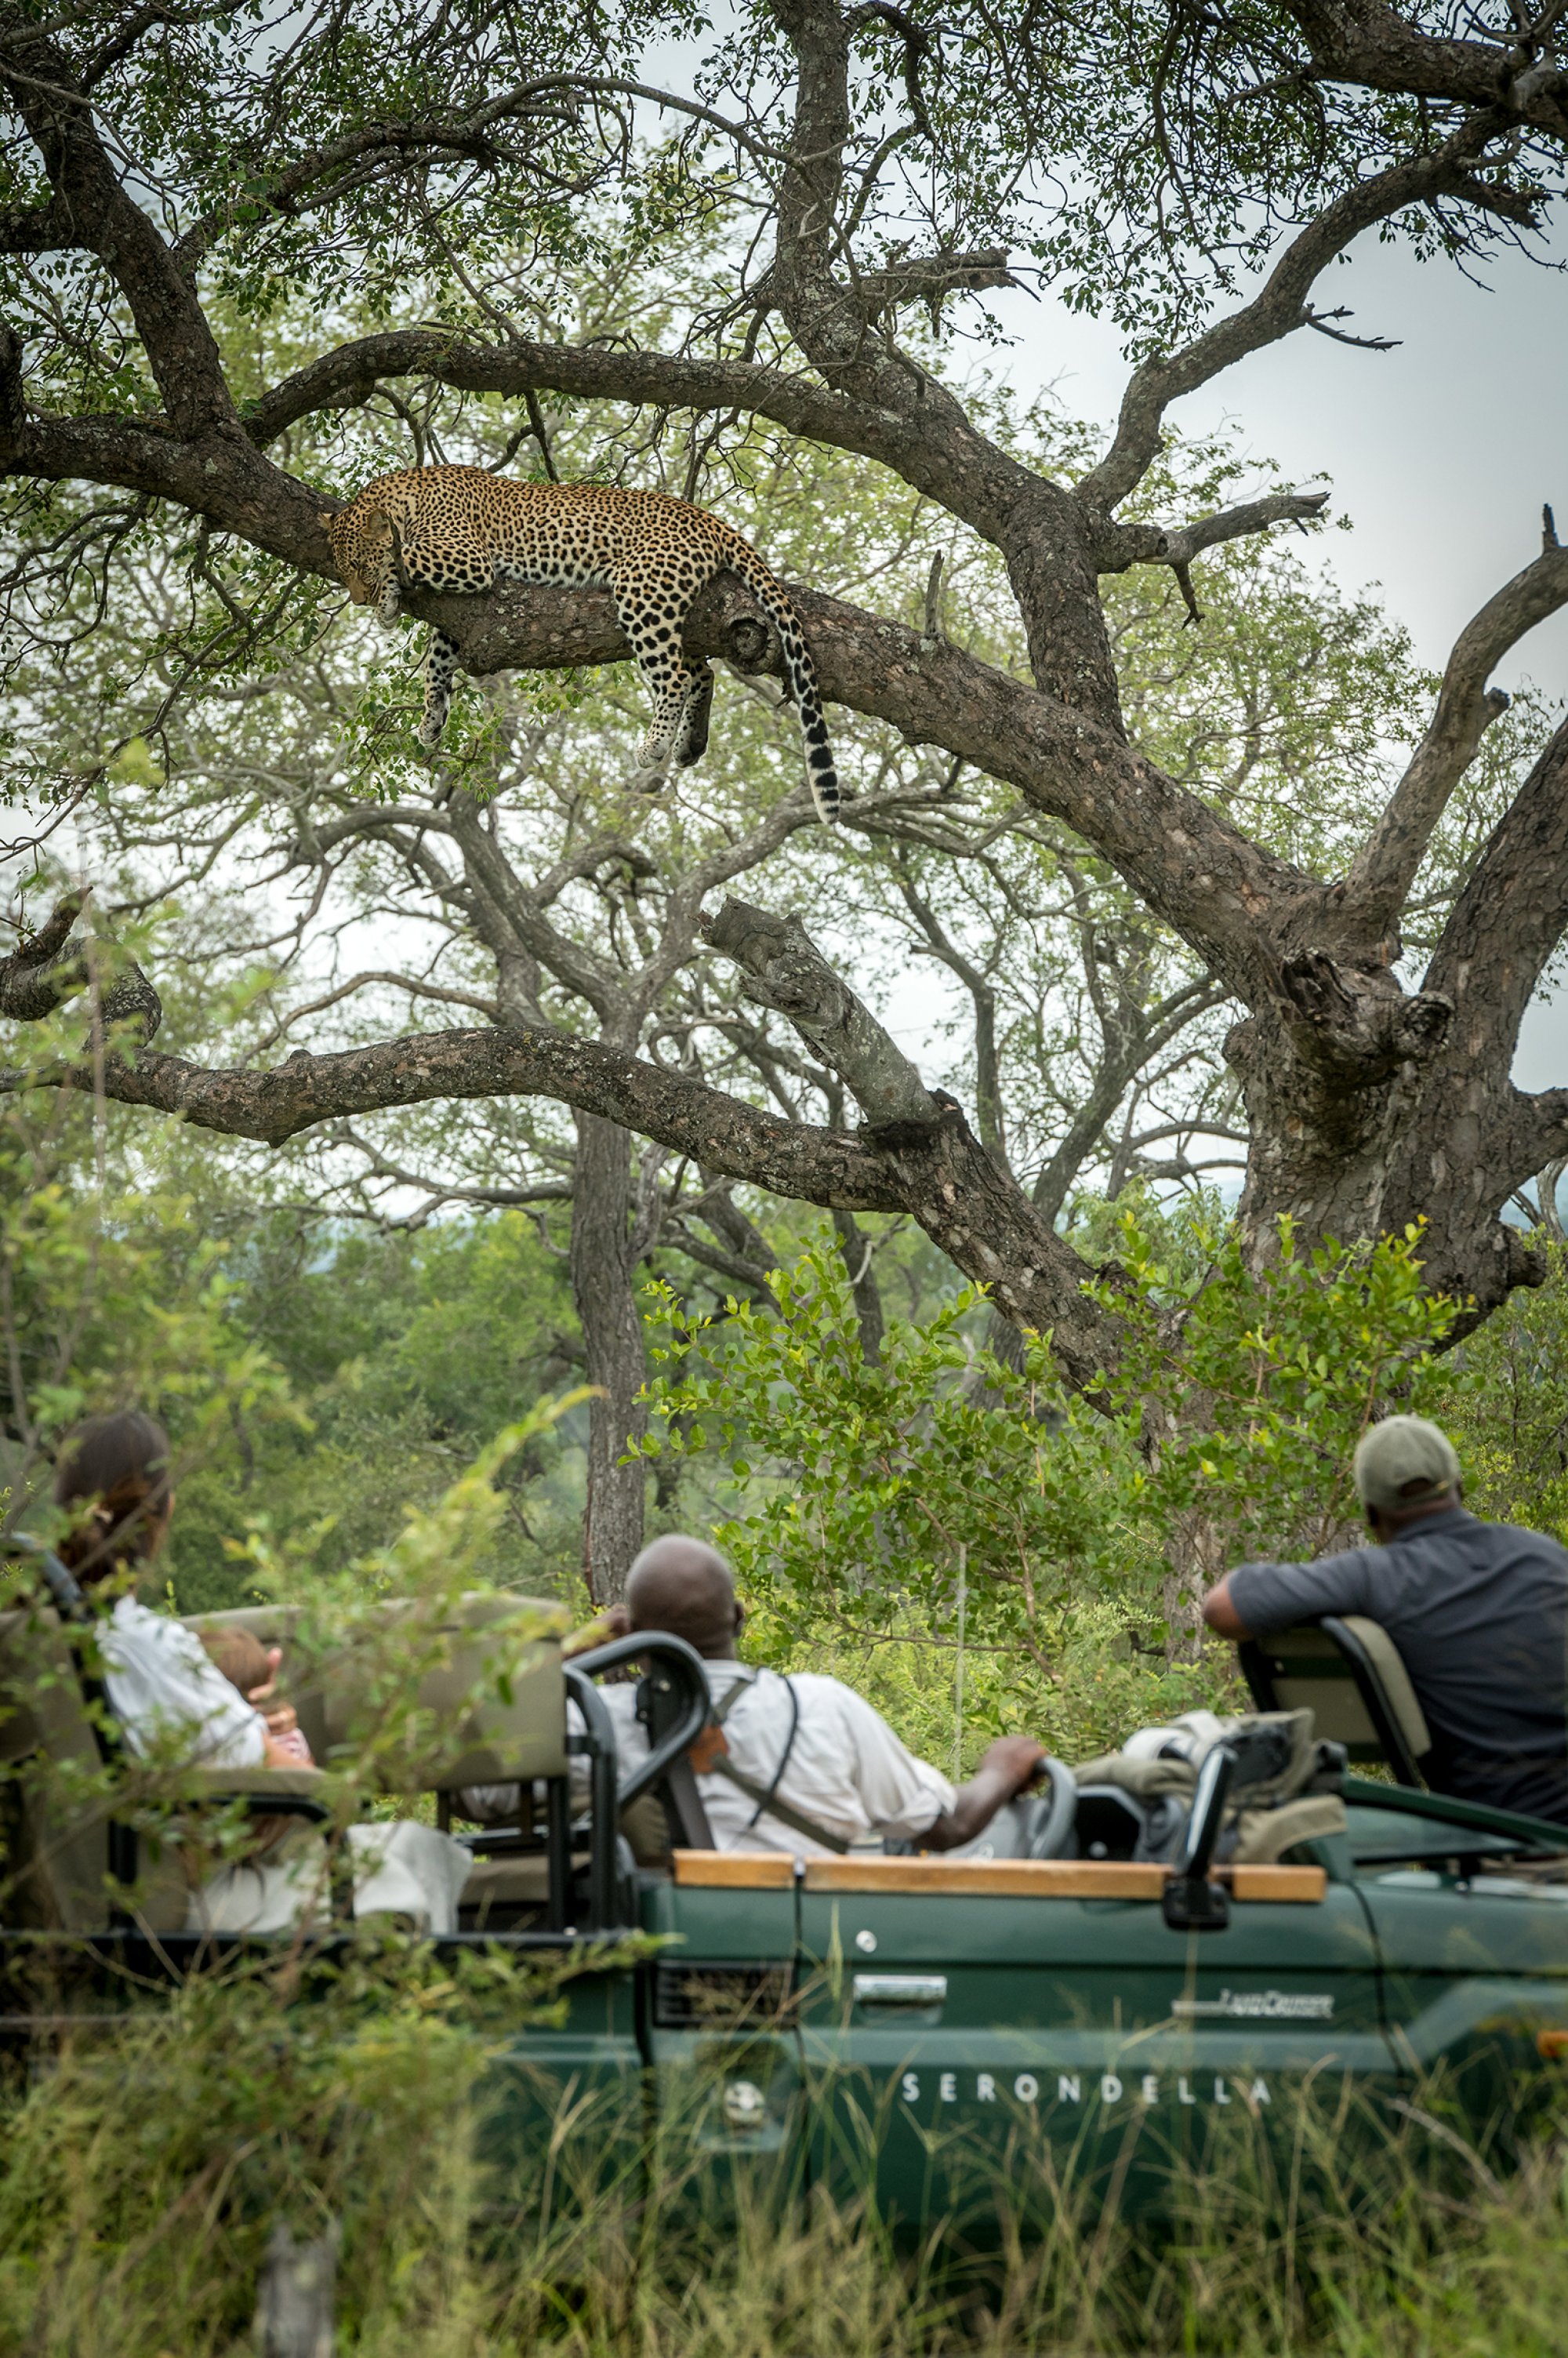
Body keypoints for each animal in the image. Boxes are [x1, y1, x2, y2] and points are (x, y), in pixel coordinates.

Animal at [322, 464, 840, 822]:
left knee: (675, 676)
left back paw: (654, 745)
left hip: (642, 591)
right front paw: (432, 719)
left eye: (359, 567)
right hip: (675, 609)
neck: (408, 495)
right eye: (342, 569)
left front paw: (389, 593)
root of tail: (707, 516)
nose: (358, 599)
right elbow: (437, 661)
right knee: (702, 671)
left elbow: (404, 558)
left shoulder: (469, 560)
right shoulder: (461, 618)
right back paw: (689, 743)